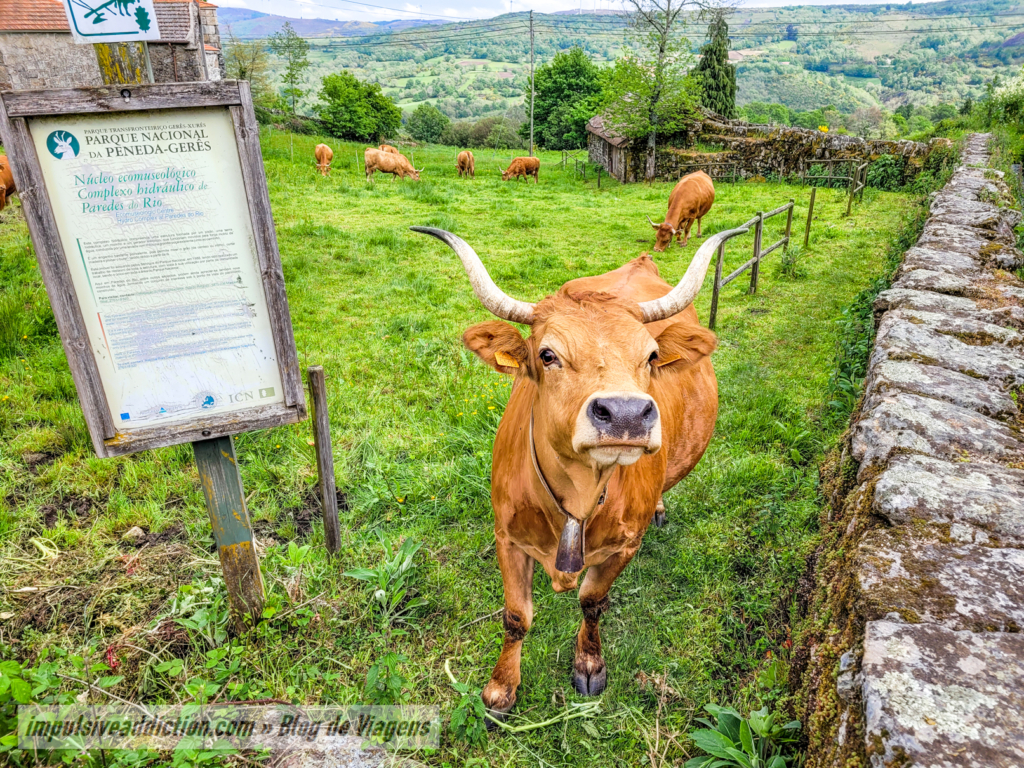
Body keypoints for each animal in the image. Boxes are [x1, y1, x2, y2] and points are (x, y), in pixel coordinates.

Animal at [410, 224, 734, 722]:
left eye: (651, 355)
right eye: (547, 355)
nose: (625, 413)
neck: (577, 500)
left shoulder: (624, 546)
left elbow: (592, 603)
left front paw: (589, 663)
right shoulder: (507, 537)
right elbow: (516, 617)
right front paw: (500, 688)